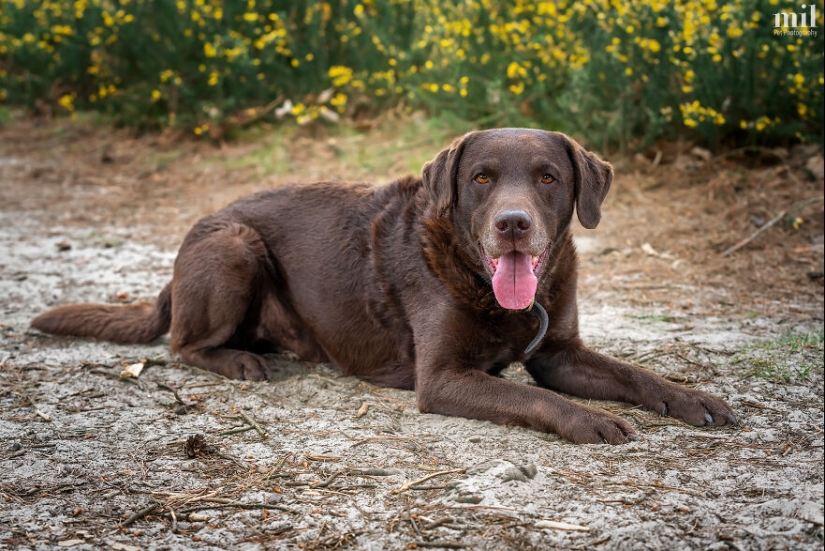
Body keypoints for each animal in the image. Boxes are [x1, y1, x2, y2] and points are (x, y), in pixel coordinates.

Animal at [32, 128, 732, 444]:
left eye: (547, 178)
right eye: (481, 178)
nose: (513, 224)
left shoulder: (561, 354)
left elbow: (634, 374)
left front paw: (692, 398)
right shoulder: (443, 377)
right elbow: (535, 398)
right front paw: (589, 419)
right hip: (234, 246)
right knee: (183, 343)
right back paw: (240, 360)